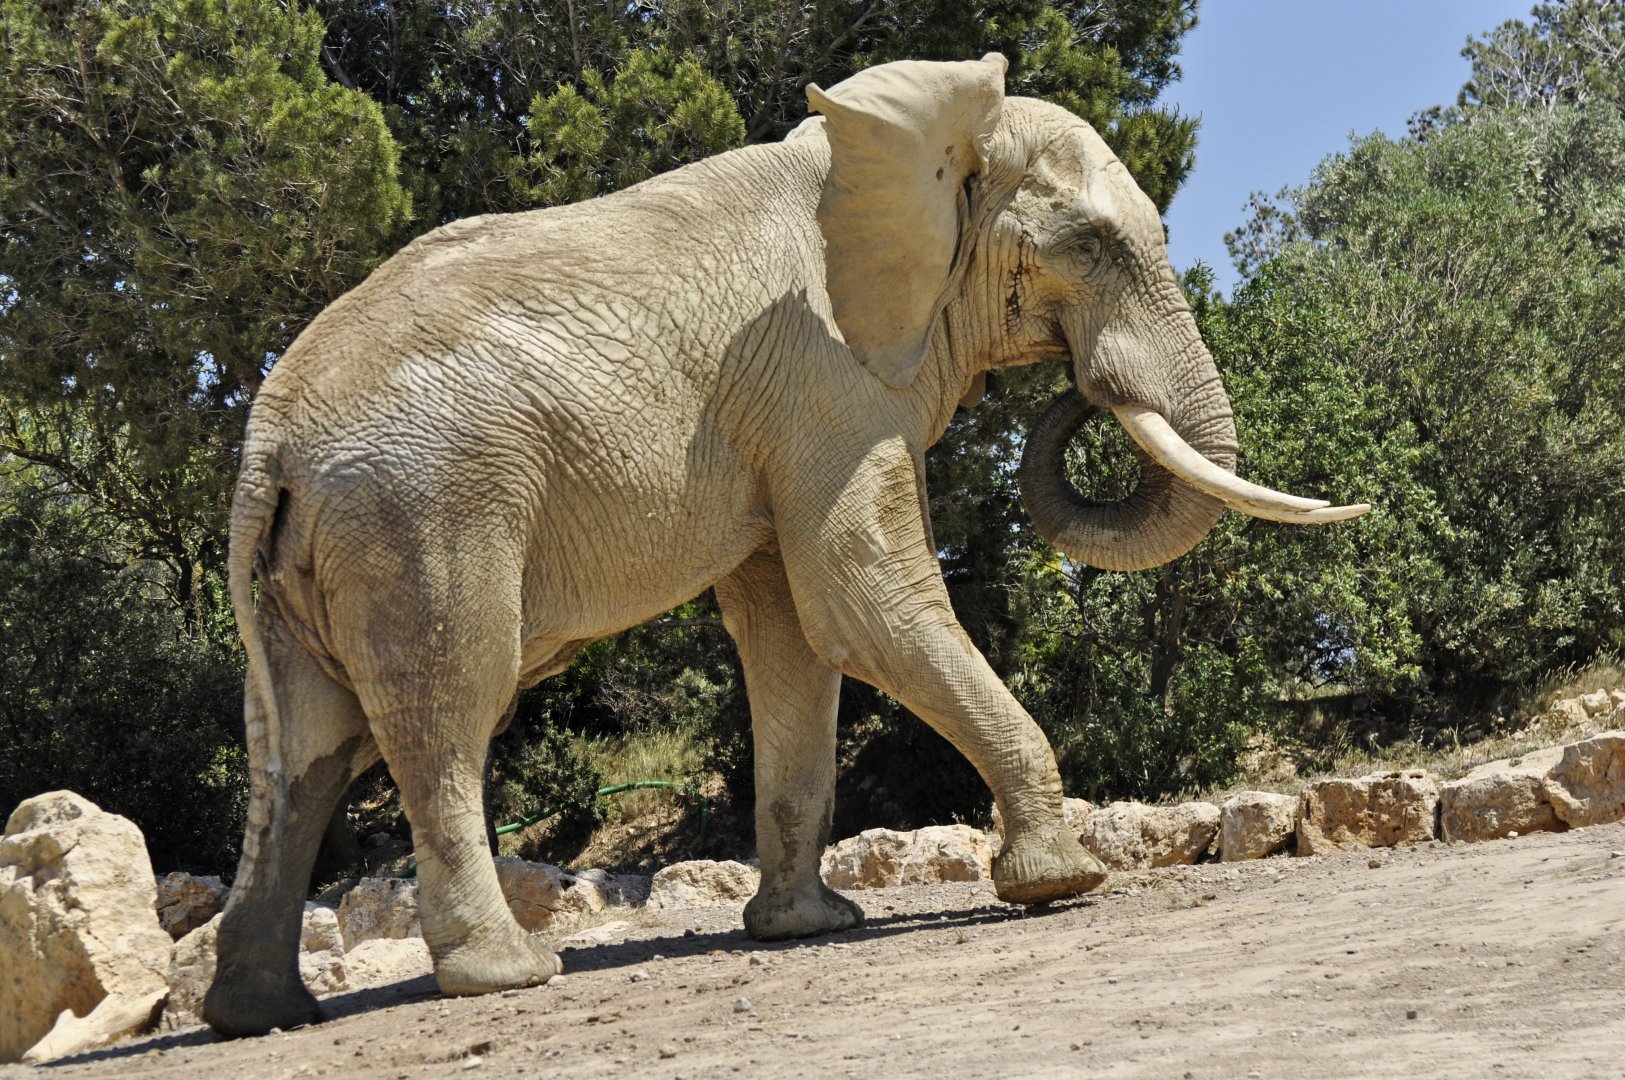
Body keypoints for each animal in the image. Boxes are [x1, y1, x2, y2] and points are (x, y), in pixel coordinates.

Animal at [203, 53, 1367, 1037]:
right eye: (1086, 248)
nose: (1082, 390)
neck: (896, 138)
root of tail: (270, 438)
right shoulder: (821, 373)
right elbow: (863, 600)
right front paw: (1062, 884)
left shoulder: (785, 405)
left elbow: (791, 636)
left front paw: (809, 929)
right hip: (423, 513)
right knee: (445, 711)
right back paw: (509, 976)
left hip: (317, 550)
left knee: (302, 749)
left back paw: (259, 1015)